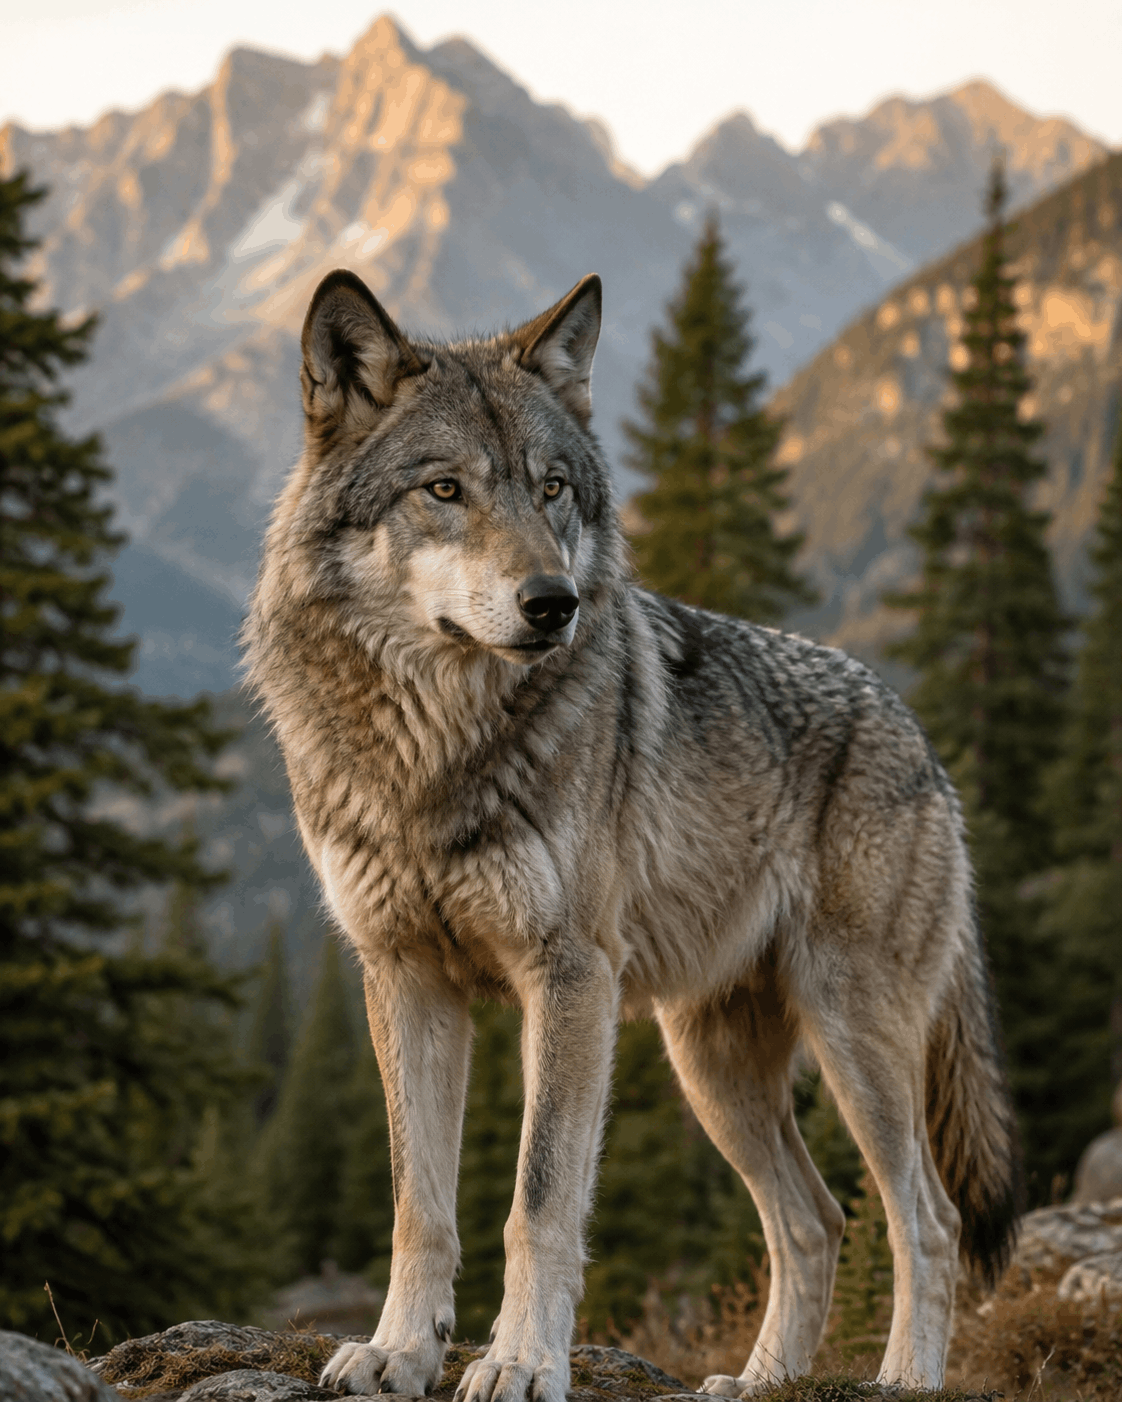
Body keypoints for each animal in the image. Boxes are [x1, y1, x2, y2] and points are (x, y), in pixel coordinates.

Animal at [245, 268, 1019, 1399]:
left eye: (553, 488)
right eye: (445, 491)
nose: (552, 603)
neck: (435, 748)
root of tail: (918, 733)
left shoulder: (568, 978)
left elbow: (538, 1201)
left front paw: (520, 1362)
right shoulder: (404, 978)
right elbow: (417, 1204)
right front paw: (397, 1351)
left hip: (853, 1037)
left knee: (928, 1218)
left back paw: (903, 1381)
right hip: (714, 1065)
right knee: (815, 1221)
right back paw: (757, 1381)